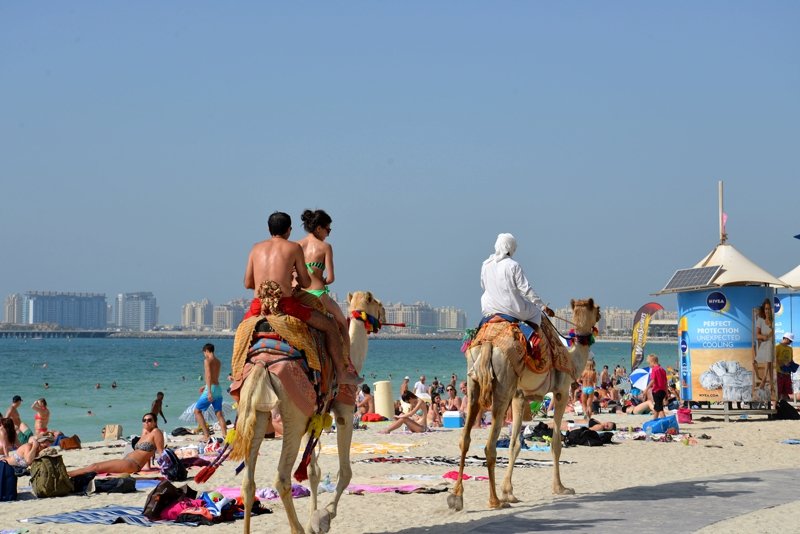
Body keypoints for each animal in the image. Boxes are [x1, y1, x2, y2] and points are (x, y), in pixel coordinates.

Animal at [234, 294, 384, 534]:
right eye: (375, 302)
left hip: (256, 414)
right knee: (281, 478)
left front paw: (314, 520)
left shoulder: (313, 417)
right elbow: (345, 471)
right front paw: (326, 515)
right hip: (292, 415)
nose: (384, 312)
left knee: (248, 483)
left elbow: (313, 471)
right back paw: (297, 529)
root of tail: (261, 364)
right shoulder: (344, 410)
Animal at [450, 300, 600, 512]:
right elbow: (556, 443)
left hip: (474, 382)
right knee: (489, 446)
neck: (571, 359)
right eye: (597, 310)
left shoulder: (519, 396)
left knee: (465, 439)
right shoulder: (561, 392)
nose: (600, 316)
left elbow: (515, 444)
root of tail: (488, 343)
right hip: (503, 385)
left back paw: (456, 497)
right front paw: (561, 488)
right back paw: (495, 501)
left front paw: (509, 492)